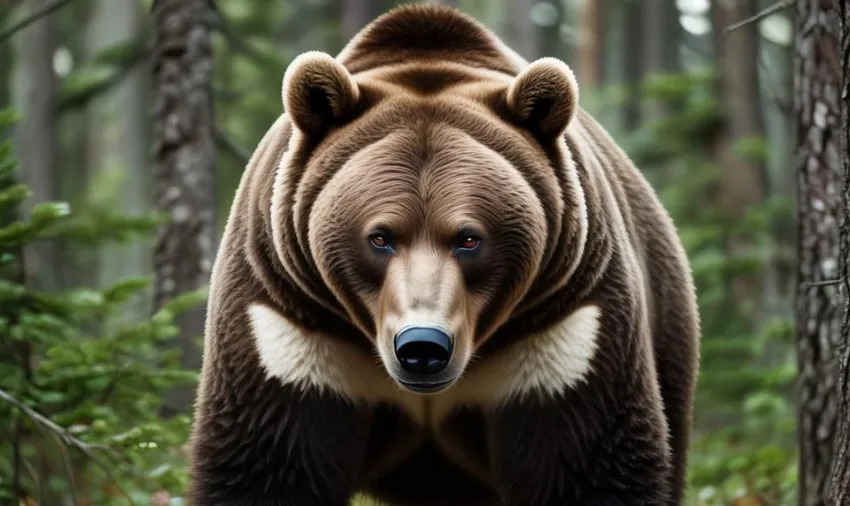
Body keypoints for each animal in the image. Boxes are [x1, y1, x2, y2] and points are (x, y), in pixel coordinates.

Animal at [186, 4, 700, 506]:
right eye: (380, 237)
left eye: (469, 238)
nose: (422, 346)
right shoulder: (289, 323)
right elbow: (270, 462)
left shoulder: (567, 330)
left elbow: (588, 462)